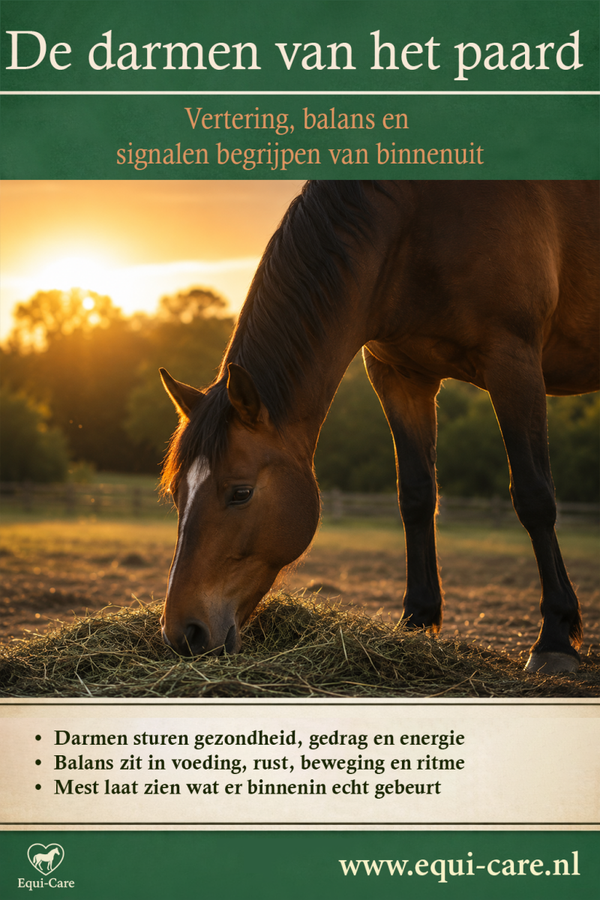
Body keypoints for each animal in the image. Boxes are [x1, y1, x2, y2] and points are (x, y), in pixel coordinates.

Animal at [159, 180, 599, 674]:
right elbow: (416, 496)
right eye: (176, 493)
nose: (183, 633)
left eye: (240, 493)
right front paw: (416, 620)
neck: (416, 225)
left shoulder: (514, 361)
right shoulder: (399, 376)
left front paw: (555, 638)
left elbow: (533, 496)